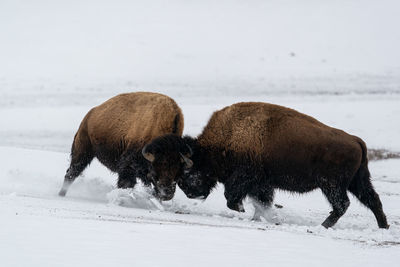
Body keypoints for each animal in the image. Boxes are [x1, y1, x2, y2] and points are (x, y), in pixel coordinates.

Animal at [57, 92, 192, 201]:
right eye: (155, 170)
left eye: (179, 171)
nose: (167, 194)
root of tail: (89, 115)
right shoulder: (128, 163)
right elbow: (126, 182)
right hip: (83, 152)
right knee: (72, 173)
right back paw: (61, 194)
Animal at [145, 101, 390, 229]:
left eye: (188, 172)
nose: (190, 193)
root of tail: (355, 140)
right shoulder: (262, 184)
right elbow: (261, 201)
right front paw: (259, 215)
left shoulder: (244, 179)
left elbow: (232, 198)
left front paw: (243, 210)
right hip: (357, 181)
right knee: (372, 200)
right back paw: (383, 226)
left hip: (332, 185)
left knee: (342, 204)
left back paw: (323, 225)